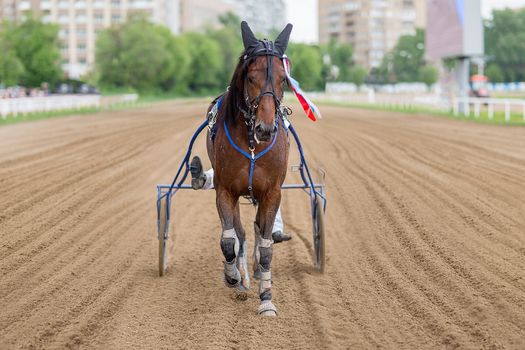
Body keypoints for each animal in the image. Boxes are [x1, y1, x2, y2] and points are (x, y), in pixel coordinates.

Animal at [205, 21, 292, 318]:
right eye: (251, 77)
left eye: (283, 79)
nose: (265, 129)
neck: (253, 144)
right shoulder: (224, 191)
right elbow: (228, 240)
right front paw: (232, 276)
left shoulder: (272, 193)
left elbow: (266, 248)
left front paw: (266, 298)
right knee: (240, 234)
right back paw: (241, 276)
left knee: (255, 231)